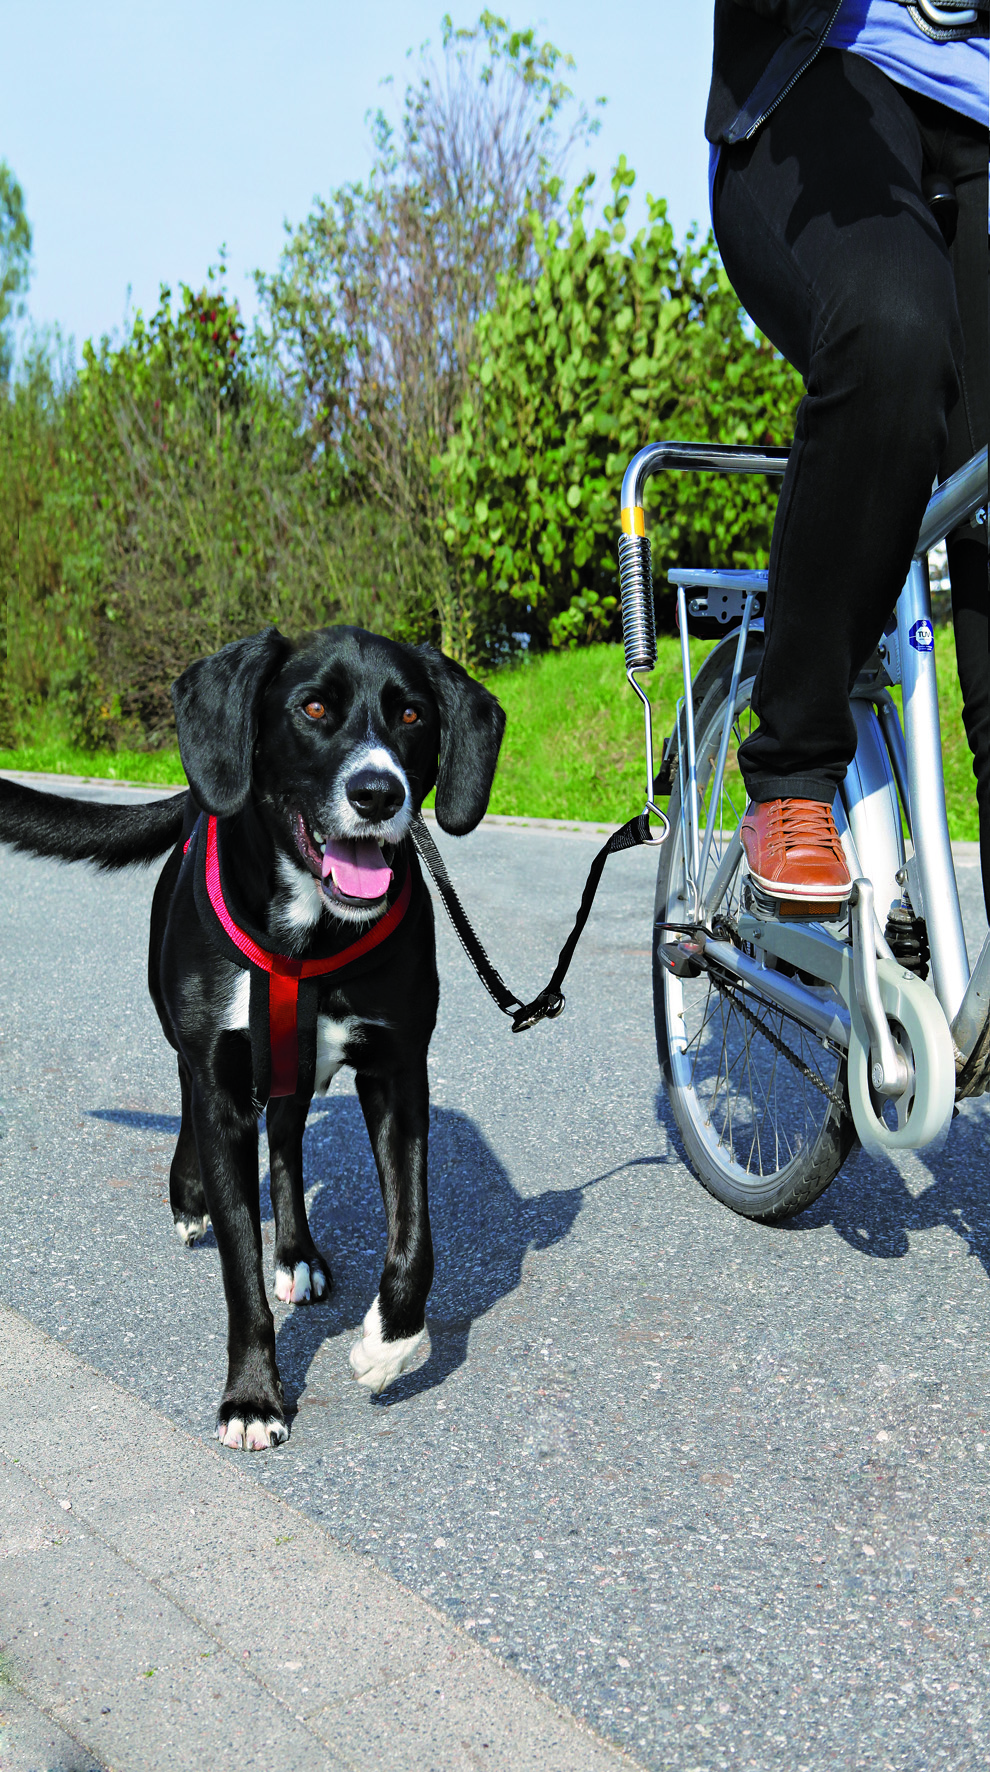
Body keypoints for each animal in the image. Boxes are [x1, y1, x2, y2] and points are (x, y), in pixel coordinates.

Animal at [1, 630, 502, 1445]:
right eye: (314, 708)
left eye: (412, 715)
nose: (379, 794)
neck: (309, 931)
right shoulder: (223, 1082)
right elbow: (239, 1268)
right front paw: (253, 1397)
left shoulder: (398, 1071)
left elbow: (415, 1233)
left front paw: (388, 1346)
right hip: (187, 1034)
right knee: (189, 1095)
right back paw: (190, 1193)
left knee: (289, 1145)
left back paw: (296, 1253)